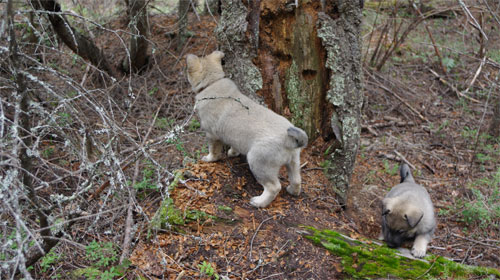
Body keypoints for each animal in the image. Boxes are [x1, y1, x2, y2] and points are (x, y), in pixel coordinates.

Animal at [186, 50, 306, 208]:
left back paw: (259, 202)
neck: (212, 82)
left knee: (274, 187)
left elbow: (214, 151)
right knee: (297, 180)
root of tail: (288, 138)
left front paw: (209, 159)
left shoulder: (211, 135)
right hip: (294, 162)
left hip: (258, 162)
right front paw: (232, 153)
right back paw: (293, 191)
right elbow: (234, 146)